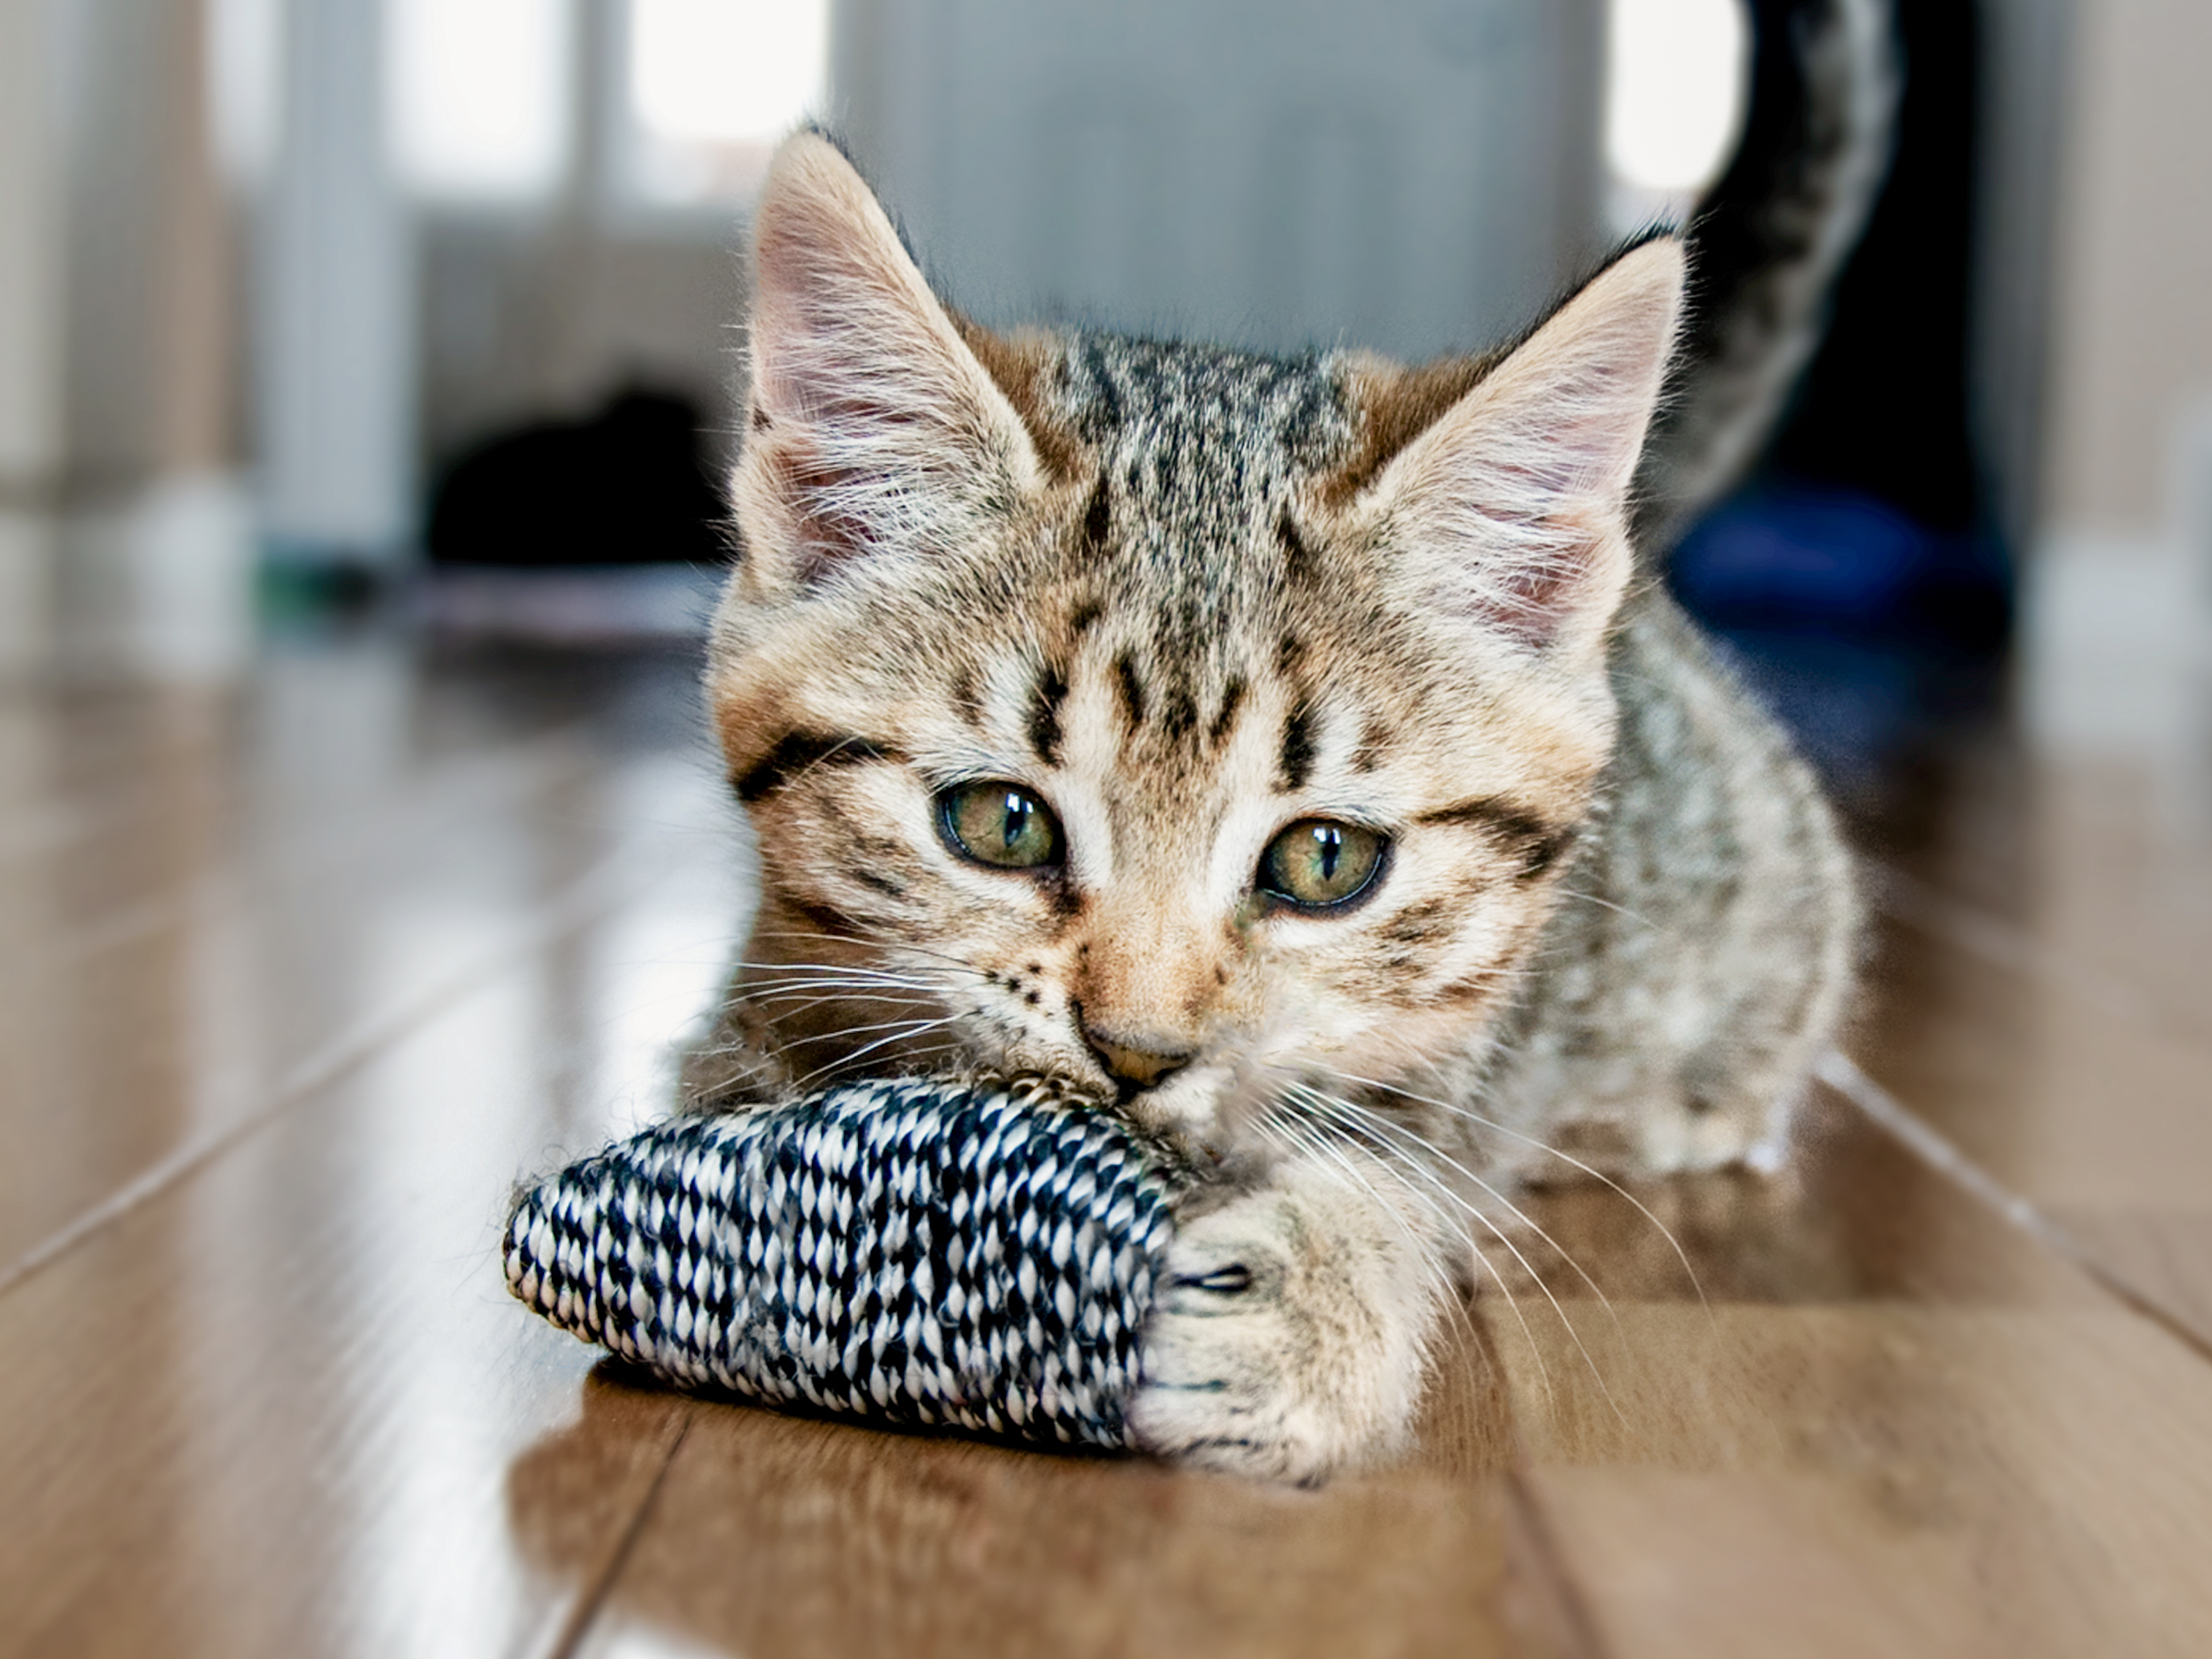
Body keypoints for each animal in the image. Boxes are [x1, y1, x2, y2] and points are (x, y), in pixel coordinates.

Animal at [690, 3, 1884, 1478]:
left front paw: (1312, 1300)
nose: (1138, 1051)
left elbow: (1398, 1170)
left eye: (1323, 862)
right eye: (999, 822)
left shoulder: (1456, 1079)